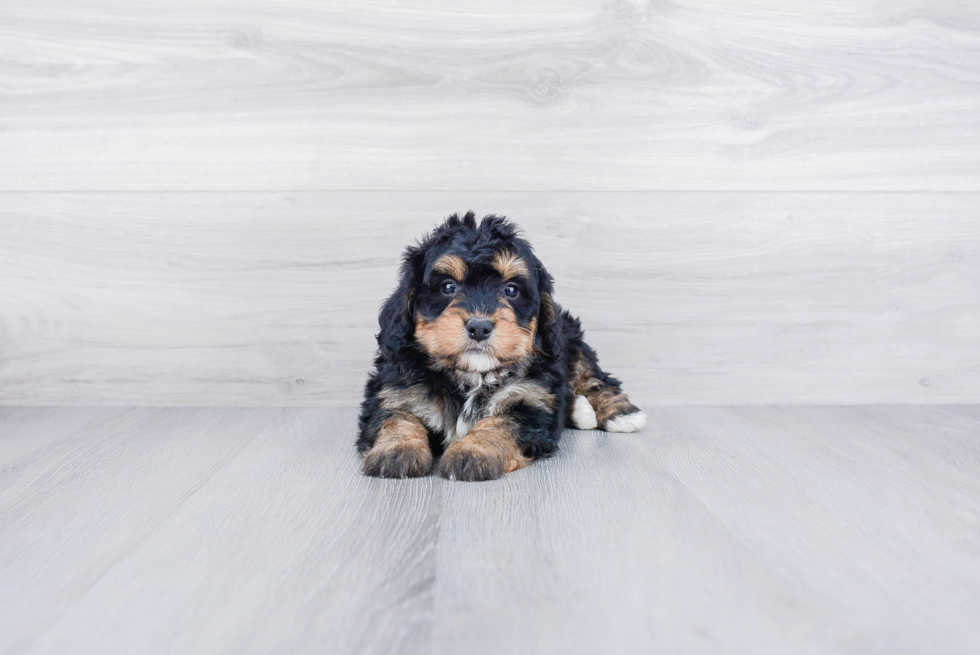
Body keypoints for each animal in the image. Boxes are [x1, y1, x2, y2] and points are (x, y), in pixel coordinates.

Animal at [356, 211, 648, 482]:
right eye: (448, 287)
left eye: (511, 290)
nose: (479, 327)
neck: (473, 375)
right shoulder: (394, 390)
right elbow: (396, 416)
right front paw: (397, 450)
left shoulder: (530, 400)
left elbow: (502, 423)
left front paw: (473, 451)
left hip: (573, 342)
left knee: (594, 379)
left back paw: (620, 413)